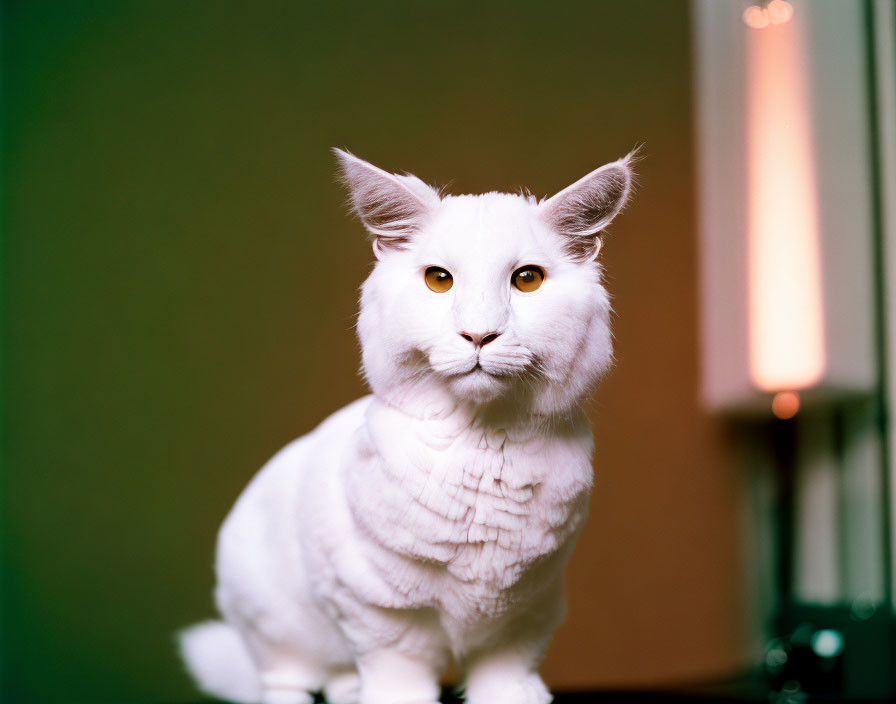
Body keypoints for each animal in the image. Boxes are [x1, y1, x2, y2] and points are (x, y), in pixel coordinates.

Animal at [178, 148, 632, 704]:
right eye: (439, 279)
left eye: (527, 280)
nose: (479, 334)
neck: (483, 447)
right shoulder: (376, 611)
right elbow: (400, 674)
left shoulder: (529, 609)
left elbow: (506, 673)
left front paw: (512, 696)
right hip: (273, 624)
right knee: (285, 682)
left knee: (338, 677)